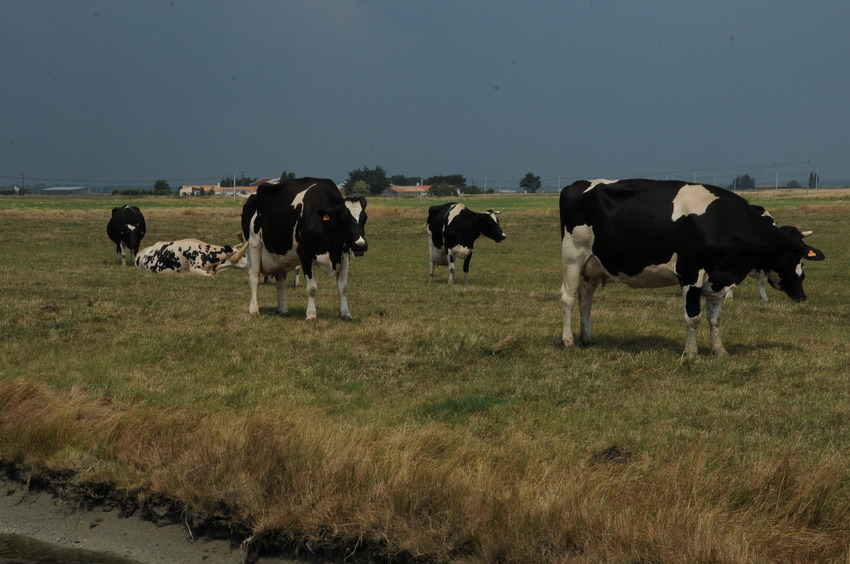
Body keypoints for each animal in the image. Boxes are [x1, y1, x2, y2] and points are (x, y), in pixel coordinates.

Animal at [240, 178, 370, 320]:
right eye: (345, 220)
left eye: (364, 219)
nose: (360, 245)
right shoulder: (305, 254)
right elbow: (312, 288)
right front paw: (311, 314)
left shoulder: (344, 255)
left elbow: (343, 287)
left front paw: (346, 314)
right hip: (254, 244)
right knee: (254, 277)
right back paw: (254, 309)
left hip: (280, 256)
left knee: (281, 282)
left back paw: (283, 309)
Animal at [556, 178, 820, 360]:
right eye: (796, 258)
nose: (802, 295)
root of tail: (575, 185)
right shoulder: (691, 273)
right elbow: (693, 317)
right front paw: (691, 354)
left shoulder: (718, 278)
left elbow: (715, 318)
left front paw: (719, 350)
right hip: (573, 257)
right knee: (568, 298)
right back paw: (568, 340)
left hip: (593, 266)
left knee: (586, 301)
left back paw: (587, 338)